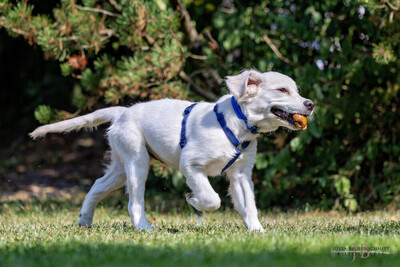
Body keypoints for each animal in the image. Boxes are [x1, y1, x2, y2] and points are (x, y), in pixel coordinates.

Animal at [30, 69, 312, 232]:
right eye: (282, 90)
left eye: (296, 90)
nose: (310, 104)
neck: (238, 126)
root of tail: (123, 112)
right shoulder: (191, 166)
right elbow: (213, 199)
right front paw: (193, 200)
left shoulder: (241, 175)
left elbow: (249, 205)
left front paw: (257, 231)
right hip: (137, 162)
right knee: (134, 202)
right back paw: (143, 227)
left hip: (121, 166)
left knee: (98, 185)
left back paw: (85, 220)